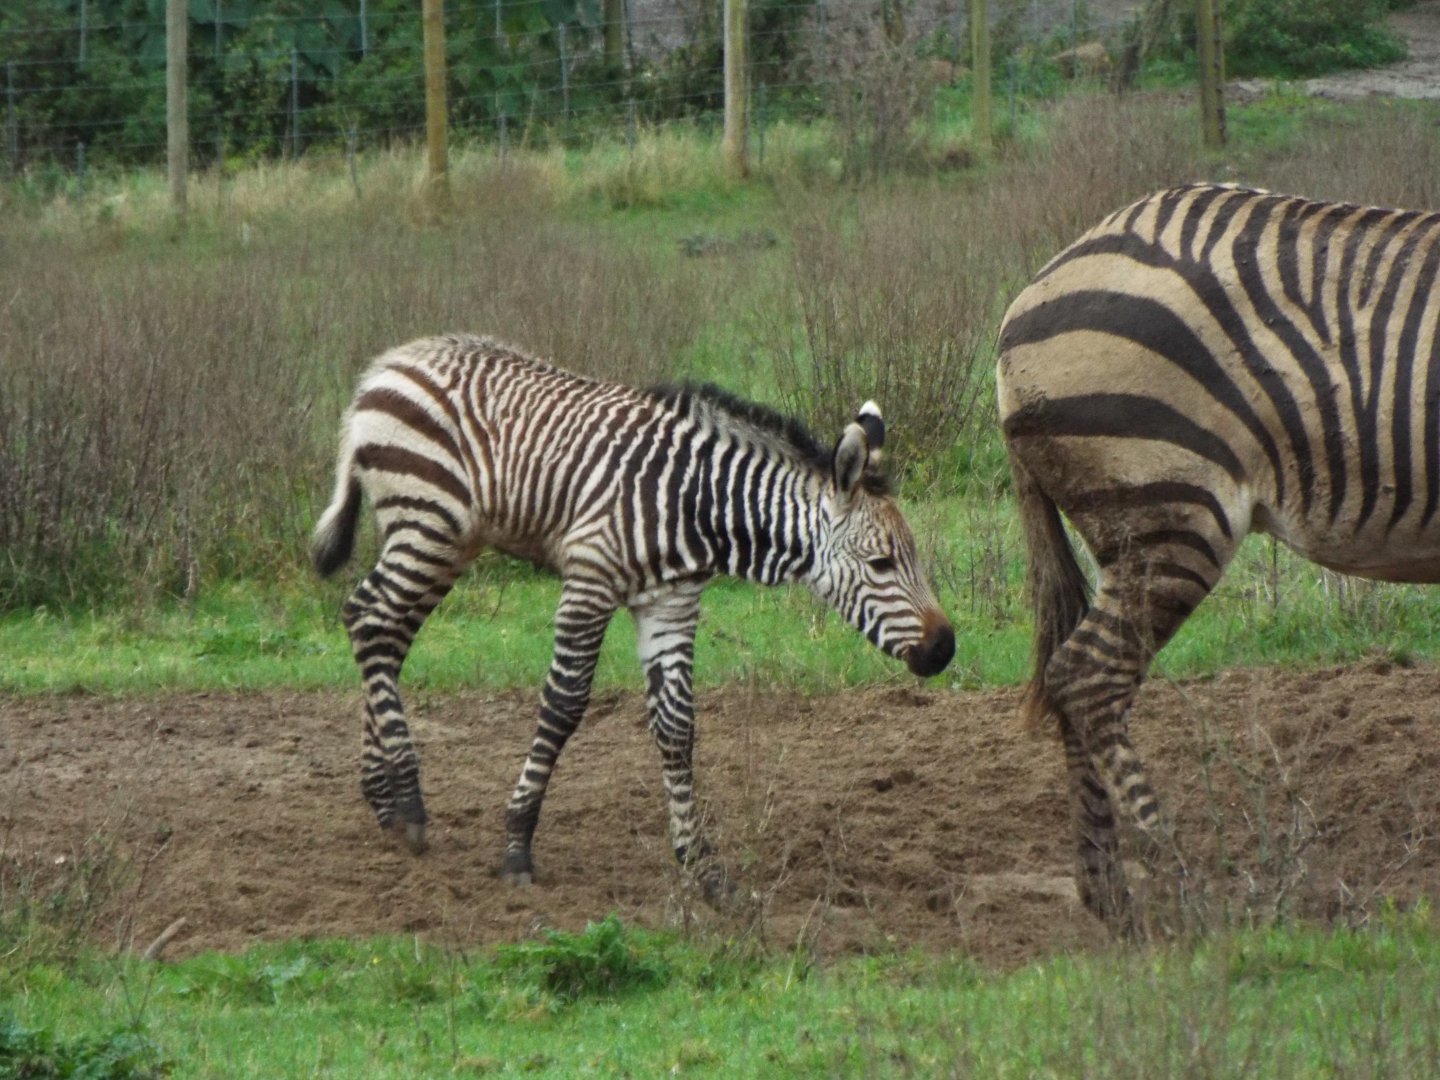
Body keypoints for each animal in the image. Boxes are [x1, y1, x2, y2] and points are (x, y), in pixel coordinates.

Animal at [313, 333, 954, 899]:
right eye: (879, 564)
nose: (945, 648)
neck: (698, 505)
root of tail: (387, 366)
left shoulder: (671, 603)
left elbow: (677, 726)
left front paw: (703, 870)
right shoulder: (590, 581)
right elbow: (563, 706)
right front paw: (517, 845)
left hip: (442, 539)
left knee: (380, 629)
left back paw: (385, 801)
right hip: (428, 523)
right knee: (371, 621)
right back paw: (409, 803)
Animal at [997, 182, 1440, 928]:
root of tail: (1028, 294)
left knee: (1078, 680)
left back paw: (1106, 891)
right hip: (1171, 509)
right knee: (1087, 676)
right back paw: (1184, 889)